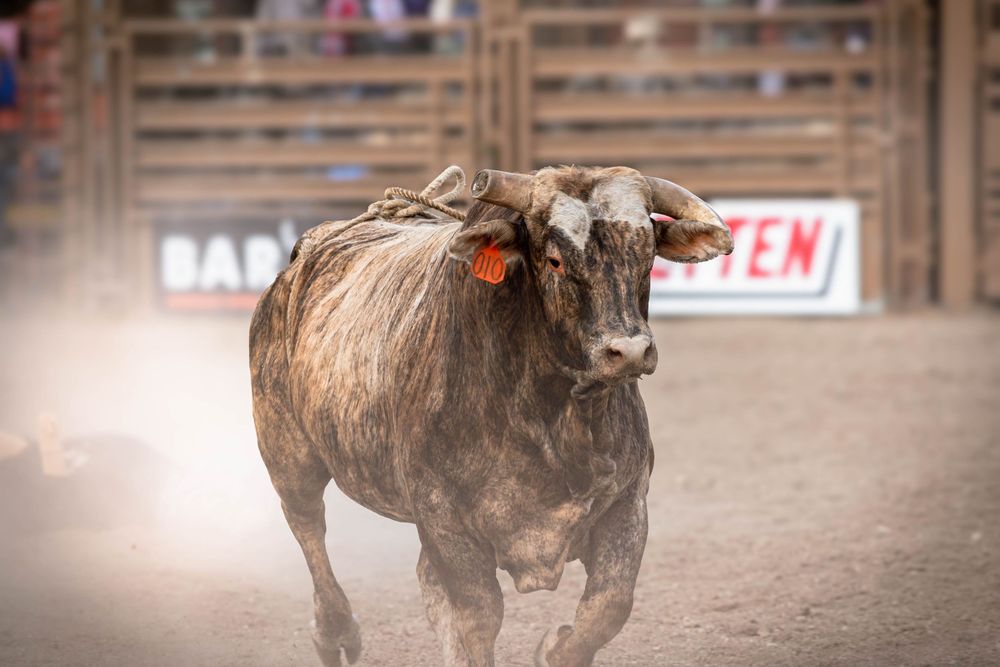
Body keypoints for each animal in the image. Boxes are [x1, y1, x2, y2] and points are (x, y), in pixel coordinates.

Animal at [249, 165, 733, 667]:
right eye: (554, 261)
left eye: (646, 255)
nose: (629, 351)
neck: (554, 419)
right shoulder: (445, 520)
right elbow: (479, 616)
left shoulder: (627, 501)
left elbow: (608, 606)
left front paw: (555, 647)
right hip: (287, 454)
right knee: (309, 526)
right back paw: (336, 633)